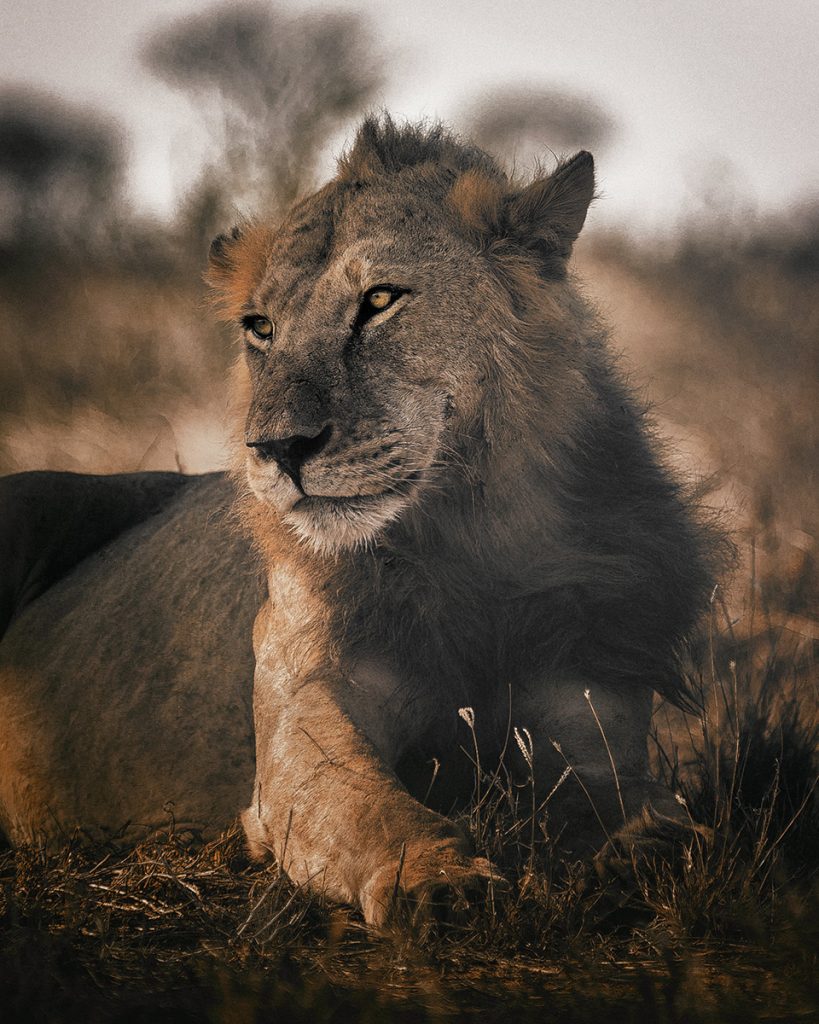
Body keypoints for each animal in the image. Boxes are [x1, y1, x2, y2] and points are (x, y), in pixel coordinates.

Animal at [0, 118, 723, 926]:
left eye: (380, 299)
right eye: (260, 327)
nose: (277, 448)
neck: (465, 530)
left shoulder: (585, 696)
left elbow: (633, 795)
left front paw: (647, 843)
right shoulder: (304, 703)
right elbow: (366, 804)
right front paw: (436, 881)